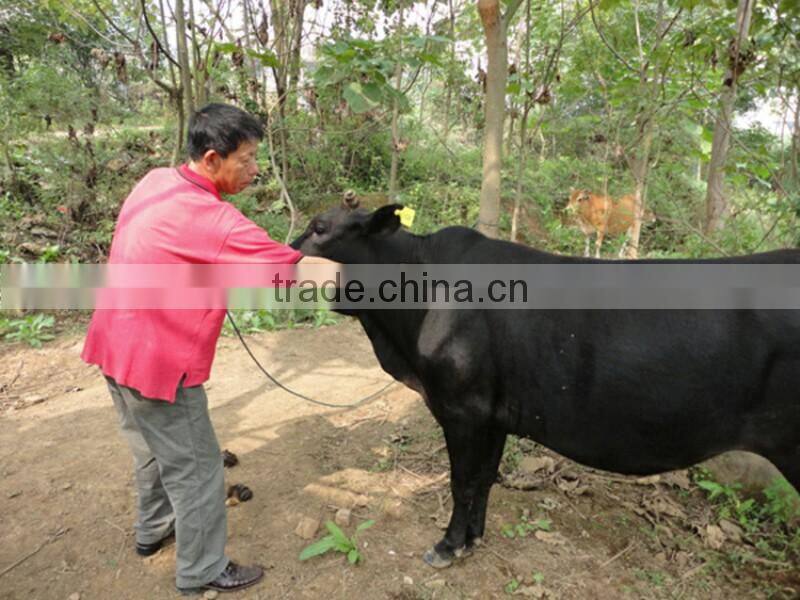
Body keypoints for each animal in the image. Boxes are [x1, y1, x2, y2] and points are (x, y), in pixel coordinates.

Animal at [291, 202, 800, 570]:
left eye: (319, 227)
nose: (288, 252)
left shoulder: (462, 408)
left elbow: (461, 480)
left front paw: (447, 546)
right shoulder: (494, 413)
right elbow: (484, 478)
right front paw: (472, 539)